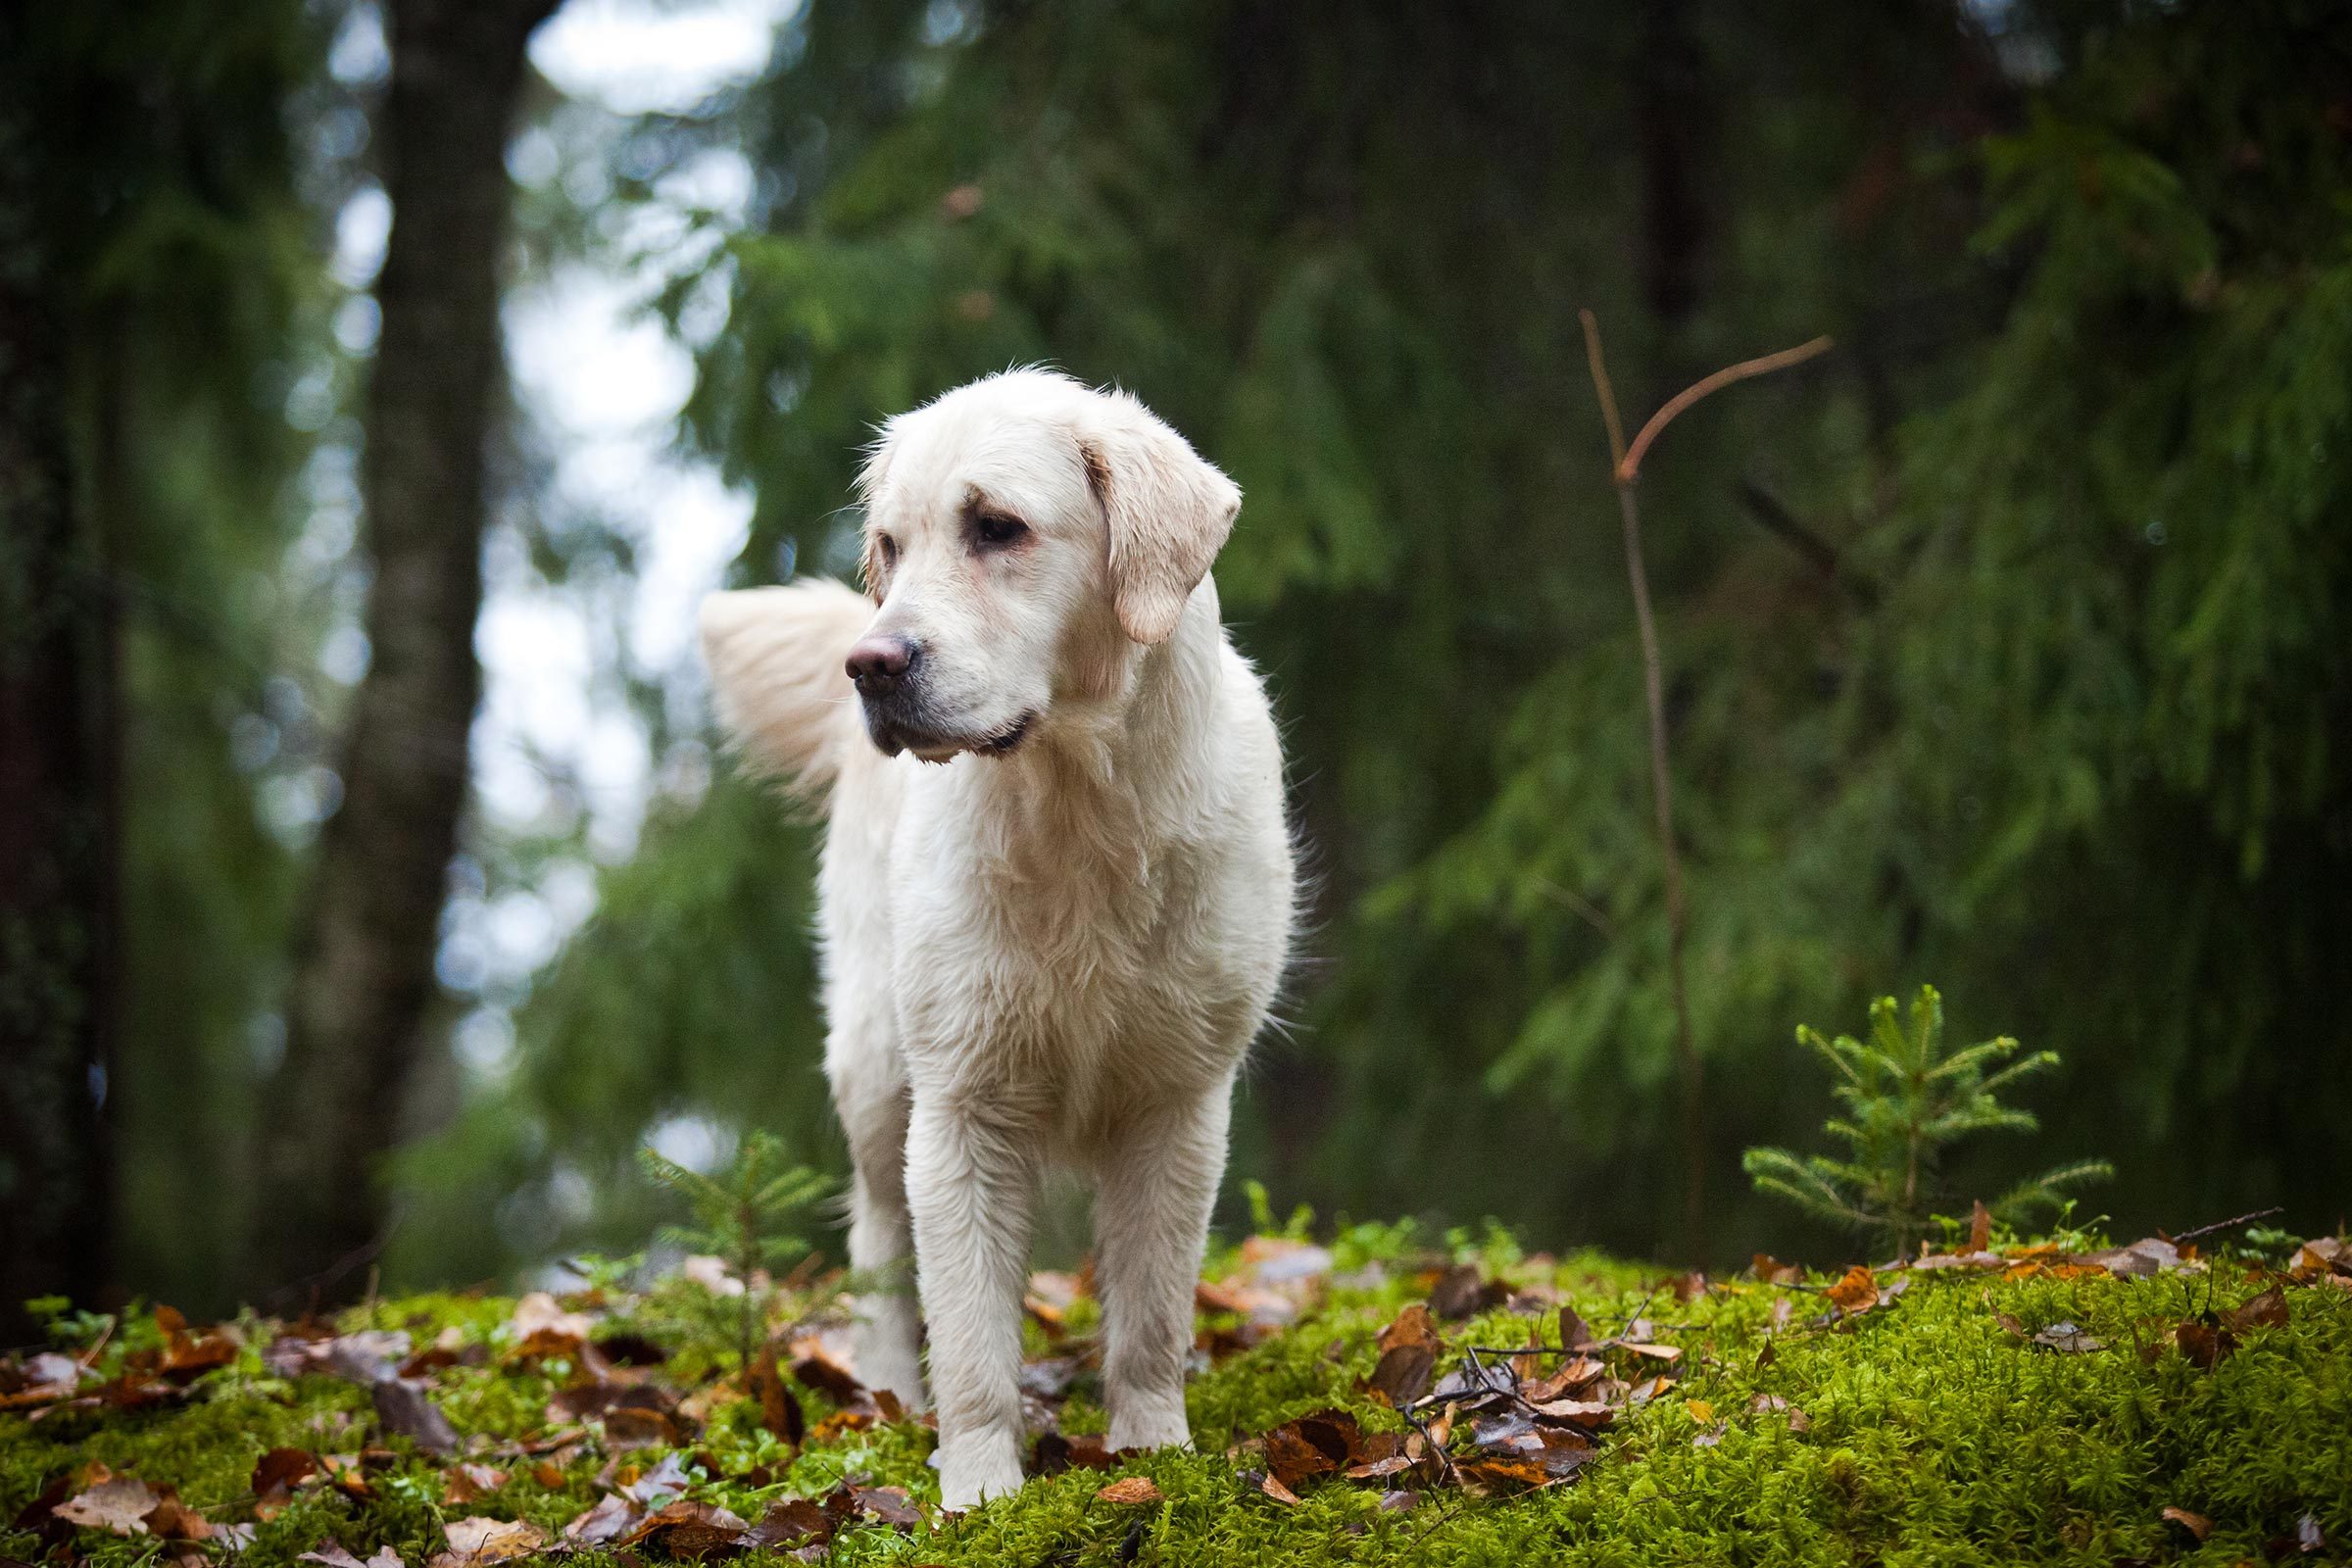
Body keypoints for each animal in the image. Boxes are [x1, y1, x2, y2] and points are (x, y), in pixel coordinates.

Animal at [696, 368, 1298, 1504]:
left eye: (997, 527)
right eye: (891, 545)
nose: (870, 664)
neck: (1080, 811)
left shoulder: (1178, 1099)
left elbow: (1152, 1314)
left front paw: (1152, 1452)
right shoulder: (960, 1105)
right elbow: (972, 1334)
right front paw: (977, 1490)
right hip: (876, 1068)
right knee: (878, 1243)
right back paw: (884, 1396)